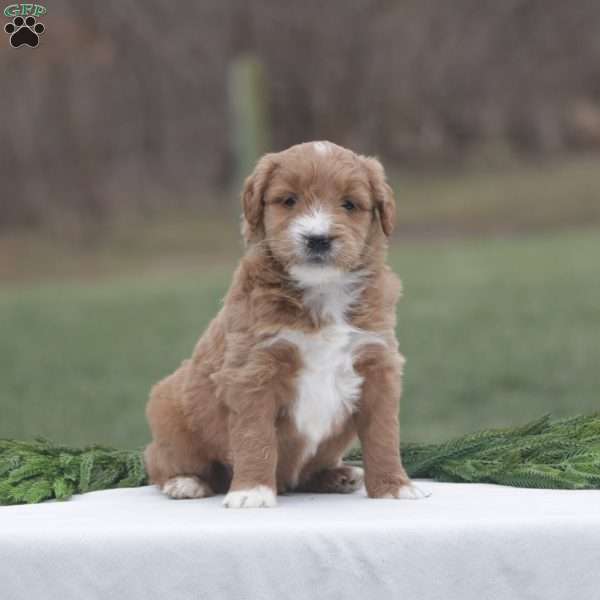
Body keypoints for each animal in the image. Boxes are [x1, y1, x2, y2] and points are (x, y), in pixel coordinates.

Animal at [145, 143, 422, 508]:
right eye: (289, 200)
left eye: (349, 204)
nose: (318, 239)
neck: (321, 292)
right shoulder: (253, 371)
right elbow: (255, 435)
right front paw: (251, 491)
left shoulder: (377, 365)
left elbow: (383, 434)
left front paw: (394, 486)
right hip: (168, 410)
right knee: (159, 461)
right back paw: (186, 482)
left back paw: (339, 475)